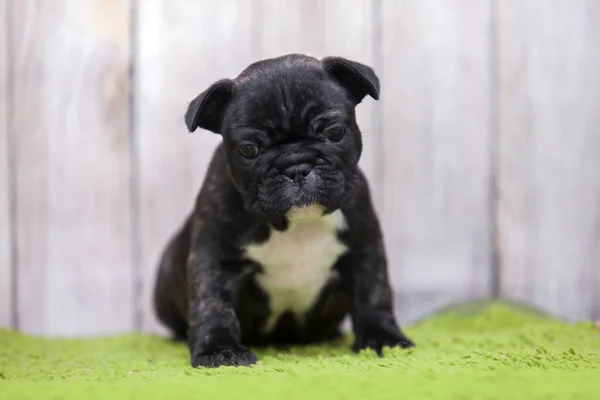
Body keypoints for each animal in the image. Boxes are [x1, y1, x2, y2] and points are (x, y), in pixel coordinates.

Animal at [152, 53, 414, 368]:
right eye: (249, 149)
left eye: (335, 132)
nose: (296, 166)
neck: (293, 226)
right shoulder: (214, 257)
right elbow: (212, 302)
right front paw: (219, 350)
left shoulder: (364, 248)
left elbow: (374, 293)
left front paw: (383, 338)